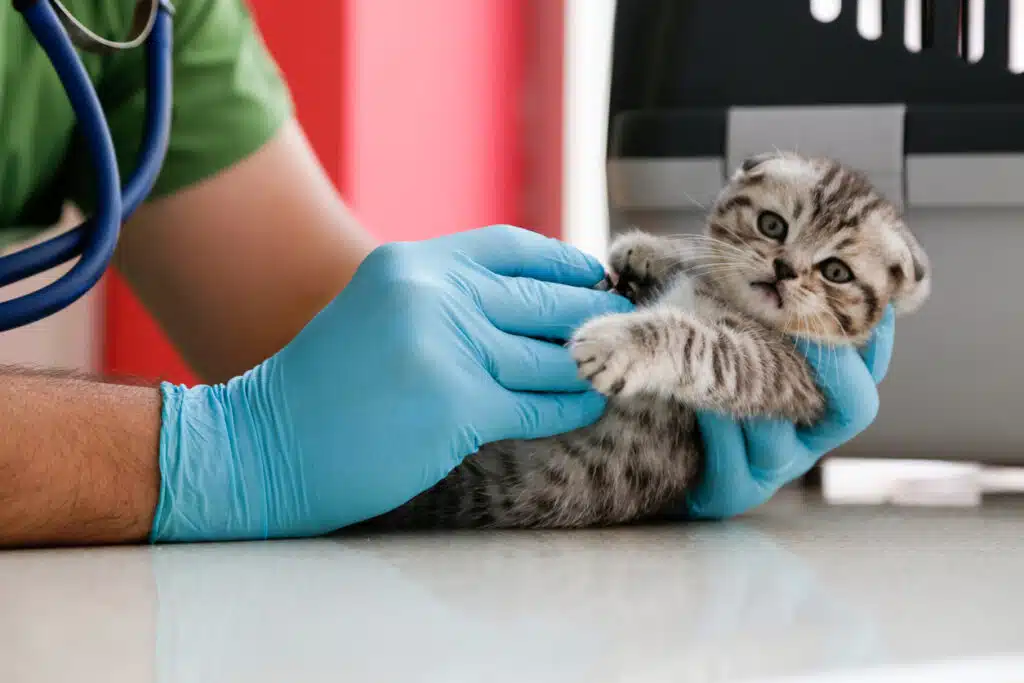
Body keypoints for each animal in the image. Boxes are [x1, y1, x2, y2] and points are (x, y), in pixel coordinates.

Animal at [364, 152, 933, 532]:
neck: (727, 301)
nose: (785, 269)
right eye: (773, 225)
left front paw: (616, 343)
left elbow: (694, 340)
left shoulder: (785, 373)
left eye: (835, 271)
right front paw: (645, 251)